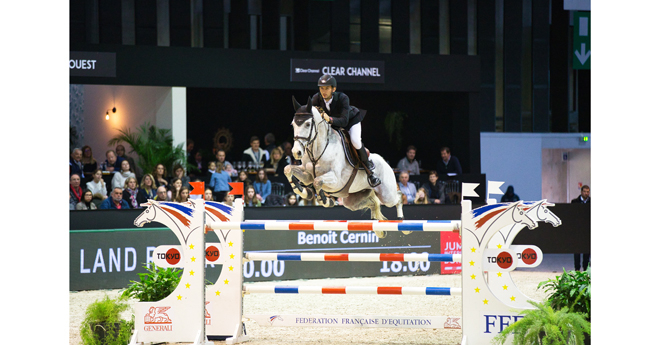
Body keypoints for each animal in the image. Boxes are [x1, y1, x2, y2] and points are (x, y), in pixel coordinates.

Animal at [284, 97, 404, 236]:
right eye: (293, 124)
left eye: (308, 124)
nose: (296, 152)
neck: (317, 150)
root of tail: (386, 163)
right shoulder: (307, 174)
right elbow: (288, 169)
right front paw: (304, 192)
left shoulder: (337, 180)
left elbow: (317, 181)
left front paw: (325, 200)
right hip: (351, 200)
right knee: (373, 203)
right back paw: (379, 229)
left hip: (387, 195)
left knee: (398, 197)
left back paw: (402, 223)